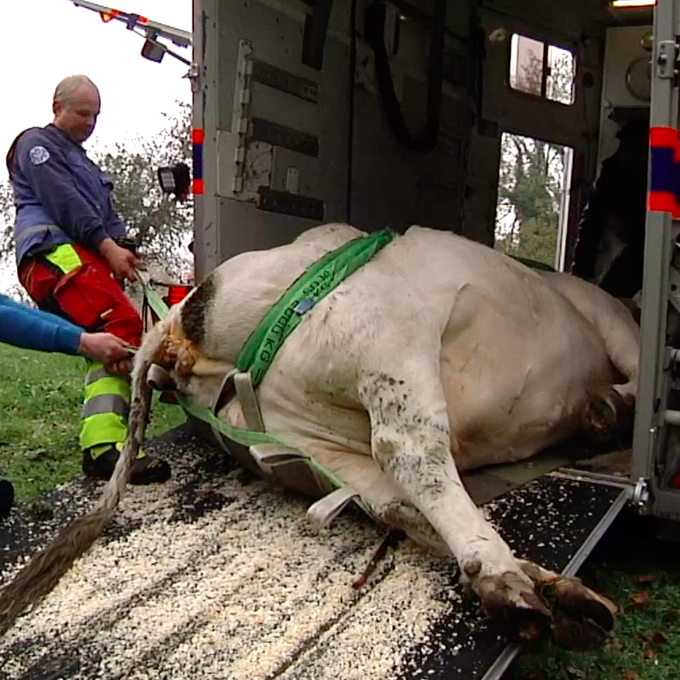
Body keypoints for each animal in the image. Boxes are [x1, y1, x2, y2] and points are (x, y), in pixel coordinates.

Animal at [0, 223, 640, 648]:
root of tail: (179, 318)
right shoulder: (612, 322)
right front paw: (613, 407)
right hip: (384, 342)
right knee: (413, 455)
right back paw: (509, 579)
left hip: (313, 432)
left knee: (392, 503)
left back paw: (550, 587)